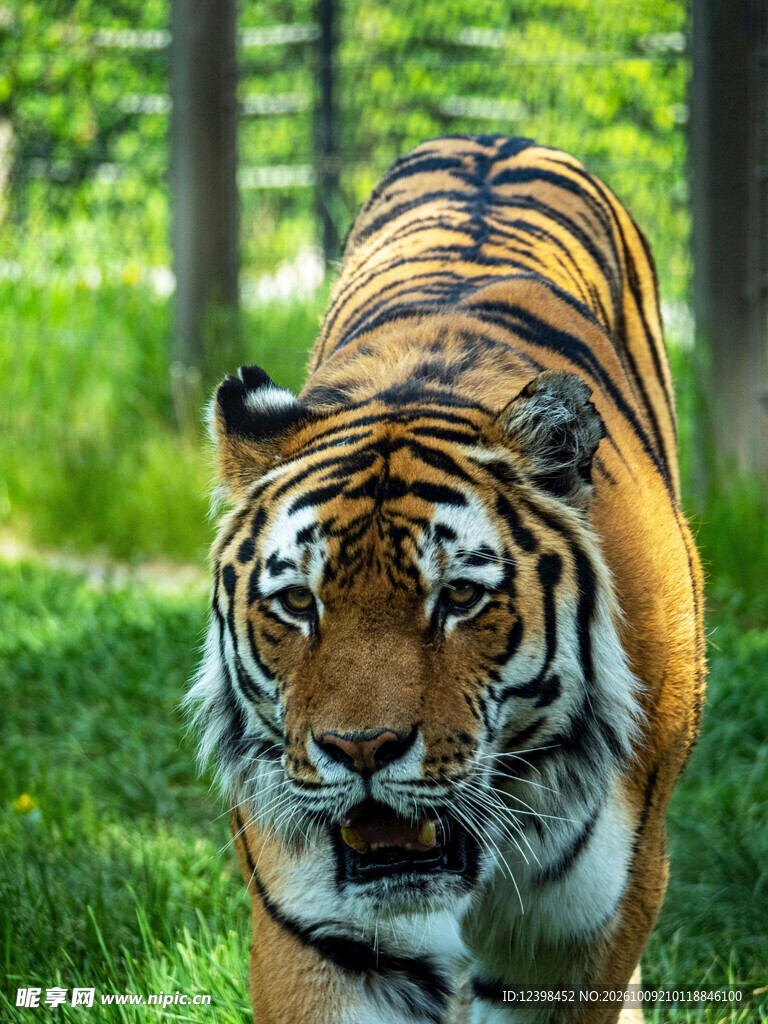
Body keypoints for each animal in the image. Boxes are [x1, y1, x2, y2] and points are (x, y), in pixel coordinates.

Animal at [186, 135, 705, 1024]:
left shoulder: (581, 931)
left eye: (458, 597)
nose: (360, 750)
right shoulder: (319, 934)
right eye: (298, 604)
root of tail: (498, 139)